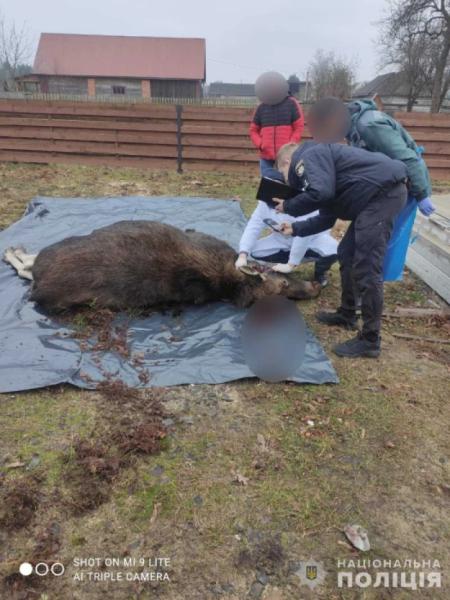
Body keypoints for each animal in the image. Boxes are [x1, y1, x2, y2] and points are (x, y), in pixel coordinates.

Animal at [3, 221, 320, 314]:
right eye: (283, 284)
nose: (315, 285)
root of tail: (41, 288)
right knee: (29, 263)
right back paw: (12, 250)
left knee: (28, 268)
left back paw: (12, 252)